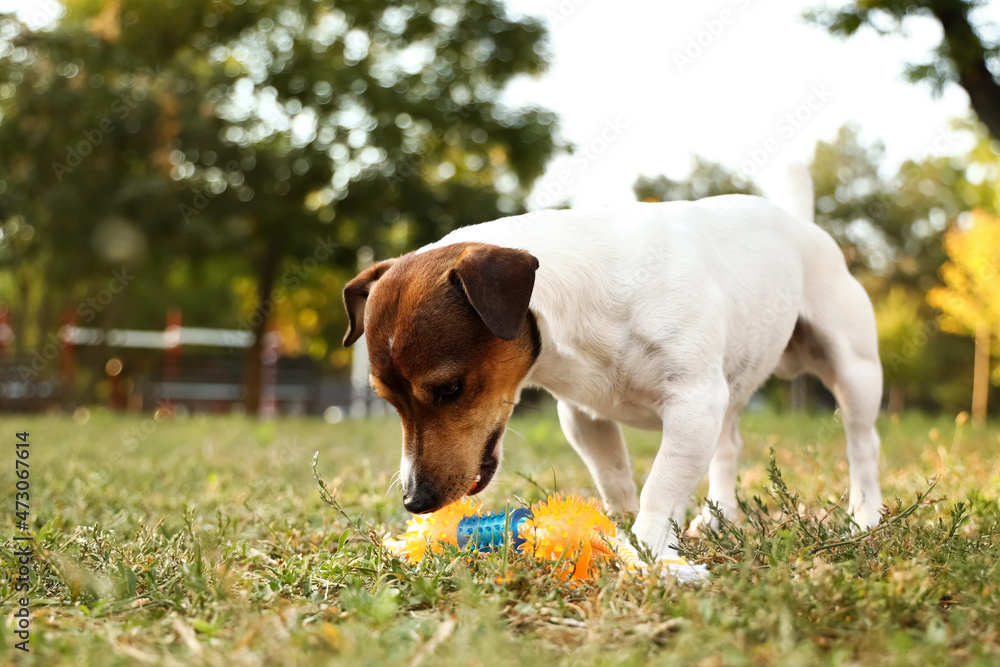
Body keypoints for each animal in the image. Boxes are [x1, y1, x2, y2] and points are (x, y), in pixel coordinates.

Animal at [346, 171, 884, 580]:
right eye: (387, 400)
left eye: (449, 389)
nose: (416, 501)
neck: (577, 298)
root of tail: (797, 221)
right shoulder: (584, 416)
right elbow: (617, 482)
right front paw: (616, 534)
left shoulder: (692, 404)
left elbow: (658, 489)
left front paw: (648, 556)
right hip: (730, 385)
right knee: (728, 446)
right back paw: (718, 517)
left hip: (853, 368)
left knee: (862, 444)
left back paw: (864, 516)